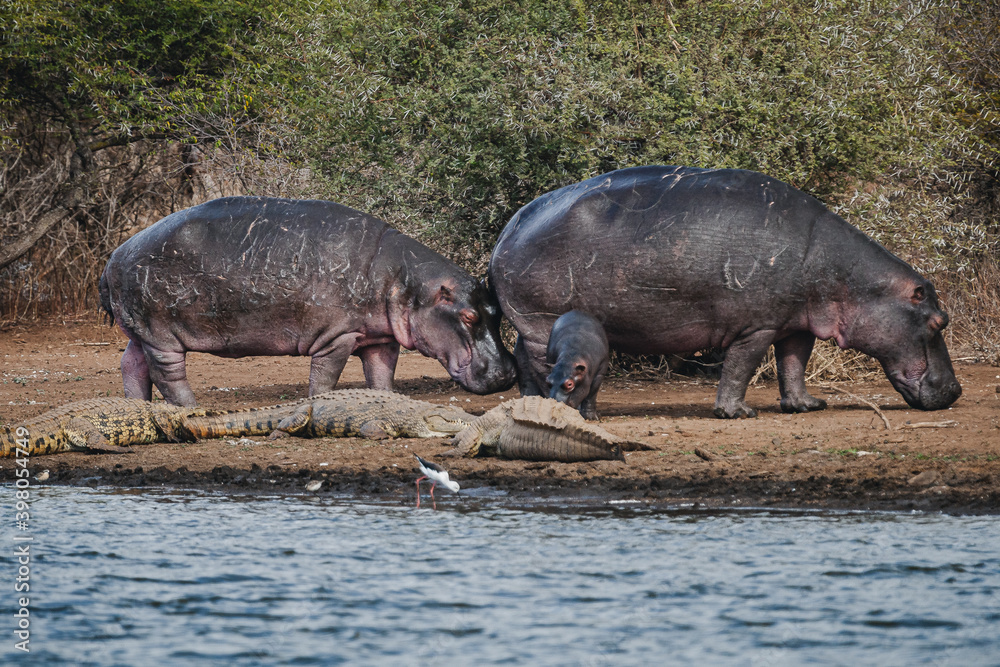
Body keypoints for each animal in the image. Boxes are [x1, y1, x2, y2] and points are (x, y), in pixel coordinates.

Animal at [100, 196, 517, 406]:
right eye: (468, 316)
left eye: (496, 312)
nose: (508, 373)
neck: (408, 284)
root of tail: (112, 257)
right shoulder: (336, 336)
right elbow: (326, 377)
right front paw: (321, 402)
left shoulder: (380, 338)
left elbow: (381, 374)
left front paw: (389, 401)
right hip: (161, 335)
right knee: (167, 374)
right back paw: (192, 407)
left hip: (140, 333)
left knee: (130, 365)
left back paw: (136, 406)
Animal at [490, 166, 962, 418]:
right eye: (939, 321)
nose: (956, 390)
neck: (851, 279)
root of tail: (508, 230)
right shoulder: (758, 325)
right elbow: (741, 367)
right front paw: (738, 413)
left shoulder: (796, 323)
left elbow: (794, 364)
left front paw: (807, 405)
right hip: (541, 324)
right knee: (539, 364)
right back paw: (549, 406)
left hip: (531, 324)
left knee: (521, 357)